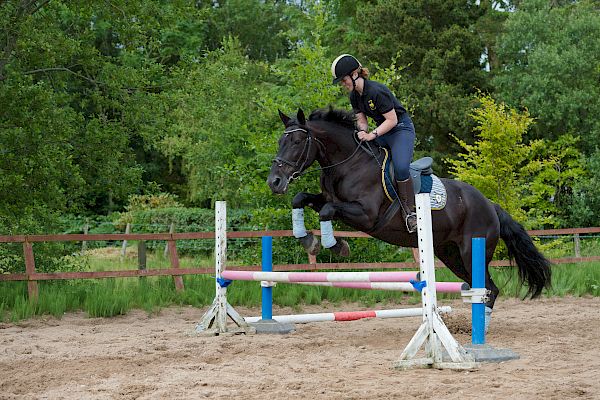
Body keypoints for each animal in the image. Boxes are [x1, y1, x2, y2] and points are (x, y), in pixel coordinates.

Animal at [268, 107, 552, 324]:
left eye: (296, 142)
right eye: (280, 142)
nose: (275, 181)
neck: (349, 163)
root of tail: (490, 205)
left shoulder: (366, 215)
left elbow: (327, 212)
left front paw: (336, 246)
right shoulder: (328, 199)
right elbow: (300, 199)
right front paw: (308, 241)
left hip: (472, 251)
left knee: (489, 289)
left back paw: (480, 331)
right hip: (451, 254)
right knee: (480, 287)